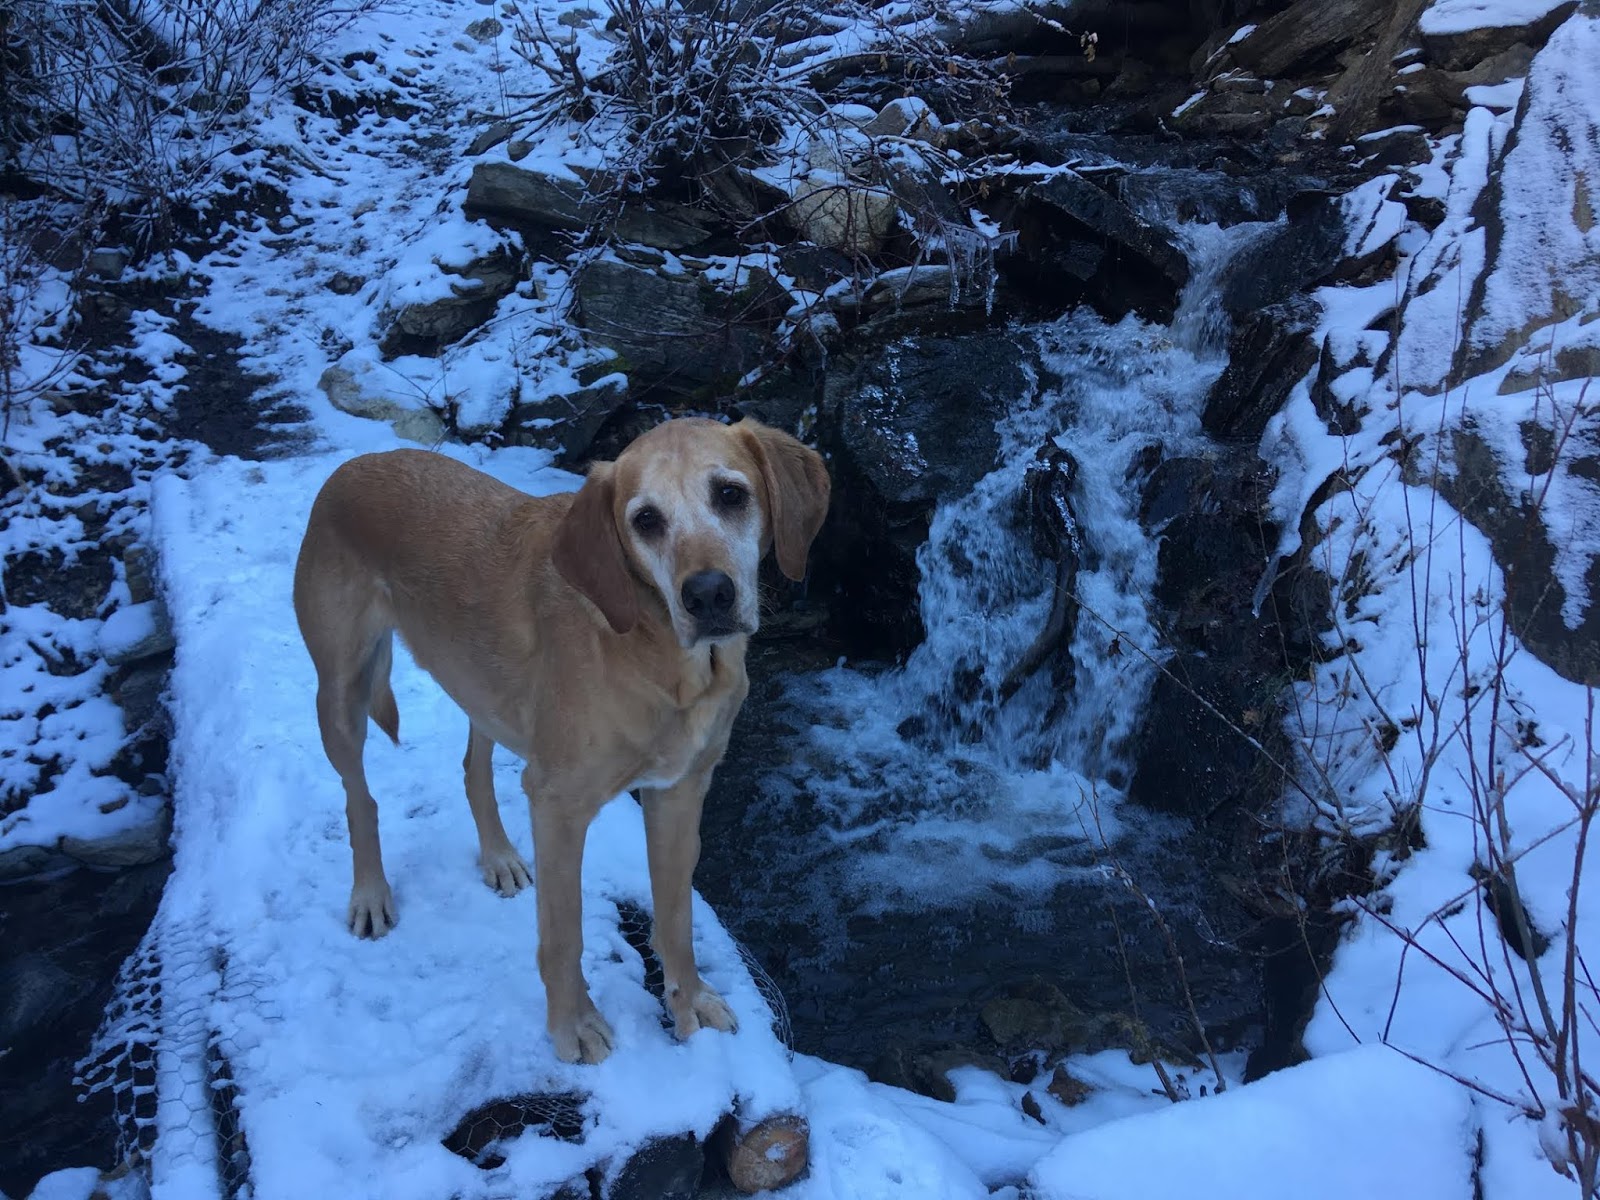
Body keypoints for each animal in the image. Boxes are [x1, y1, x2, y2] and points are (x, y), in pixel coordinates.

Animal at [292, 419, 832, 1068]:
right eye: (645, 519)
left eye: (731, 495)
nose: (707, 596)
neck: (658, 655)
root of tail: (350, 467)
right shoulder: (559, 807)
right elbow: (563, 934)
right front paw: (573, 1026)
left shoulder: (679, 792)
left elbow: (676, 919)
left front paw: (690, 1003)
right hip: (341, 693)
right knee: (359, 798)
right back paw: (371, 893)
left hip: (485, 688)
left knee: (473, 768)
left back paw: (499, 857)